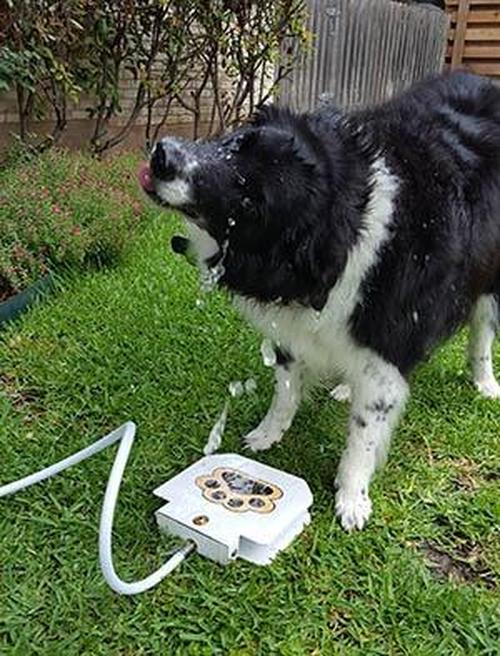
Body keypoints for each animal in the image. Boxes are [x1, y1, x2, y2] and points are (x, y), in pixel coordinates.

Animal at [139, 72, 500, 532]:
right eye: (238, 140)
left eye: (249, 200)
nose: (163, 156)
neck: (346, 216)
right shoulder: (296, 325)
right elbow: (286, 389)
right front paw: (268, 434)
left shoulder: (391, 343)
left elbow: (365, 433)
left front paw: (351, 497)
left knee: (482, 333)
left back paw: (485, 382)